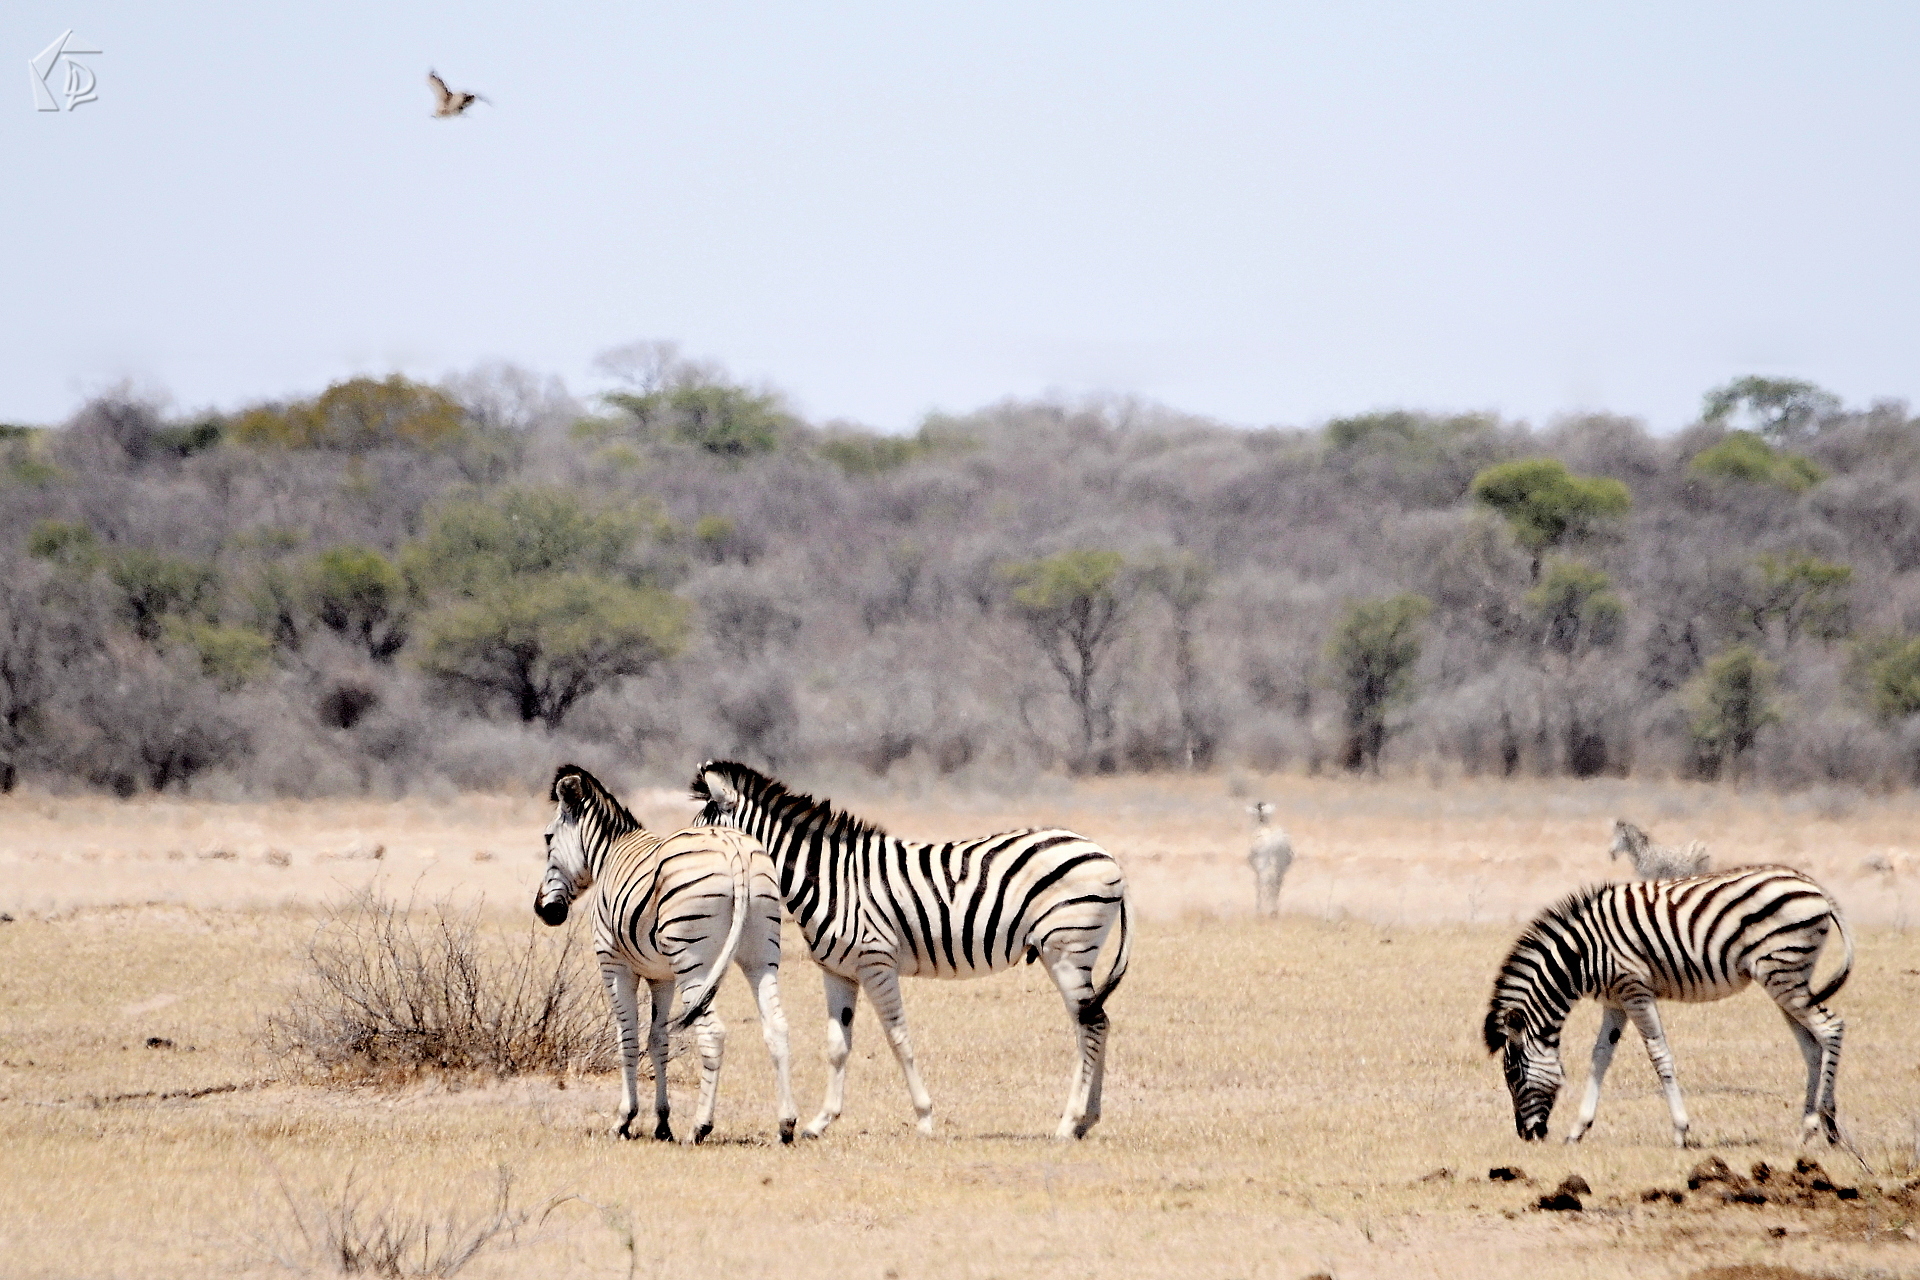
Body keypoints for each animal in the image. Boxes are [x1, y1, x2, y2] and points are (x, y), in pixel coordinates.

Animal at [537, 764, 797, 1144]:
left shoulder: (613, 963)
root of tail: (733, 847)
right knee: (776, 1026)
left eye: (547, 839)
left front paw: (624, 1119)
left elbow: (628, 1037)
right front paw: (662, 1123)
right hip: (761, 954)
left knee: (713, 1033)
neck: (609, 853)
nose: (545, 911)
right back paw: (786, 1125)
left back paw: (700, 1126)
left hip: (694, 962)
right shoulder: (663, 976)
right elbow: (658, 1039)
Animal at [690, 759, 1132, 1140]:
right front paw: (820, 1122)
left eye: (702, 832)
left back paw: (1069, 1123)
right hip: (1072, 954)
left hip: (1067, 950)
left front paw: (924, 1118)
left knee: (1091, 1024)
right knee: (1096, 1022)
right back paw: (1086, 1120)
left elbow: (898, 1038)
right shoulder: (838, 971)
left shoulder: (876, 963)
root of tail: (1105, 855)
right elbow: (837, 1045)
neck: (830, 878)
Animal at [1484, 865, 1854, 1148]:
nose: (1527, 1135)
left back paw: (1829, 1125)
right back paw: (1808, 1130)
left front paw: (1680, 1131)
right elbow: (1600, 1058)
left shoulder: (1635, 990)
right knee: (1812, 1046)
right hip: (1786, 978)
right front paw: (1578, 1130)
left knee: (1830, 1028)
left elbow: (1658, 1054)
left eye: (1513, 1075)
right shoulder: (1615, 1000)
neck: (1581, 956)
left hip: (1782, 973)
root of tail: (1813, 885)